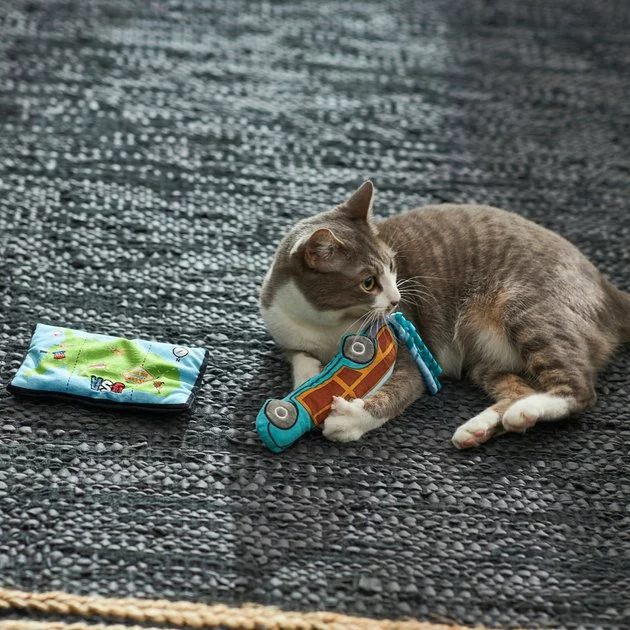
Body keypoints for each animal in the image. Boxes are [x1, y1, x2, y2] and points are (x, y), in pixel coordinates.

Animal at [259, 181, 630, 448]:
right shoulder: (284, 328)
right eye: (367, 282)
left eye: (392, 266)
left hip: (526, 310)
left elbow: (399, 390)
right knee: (518, 389)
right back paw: (485, 426)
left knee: (578, 389)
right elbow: (300, 356)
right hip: (487, 359)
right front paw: (308, 380)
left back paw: (525, 412)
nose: (395, 299)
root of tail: (609, 289)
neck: (326, 325)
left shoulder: (412, 352)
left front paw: (349, 419)